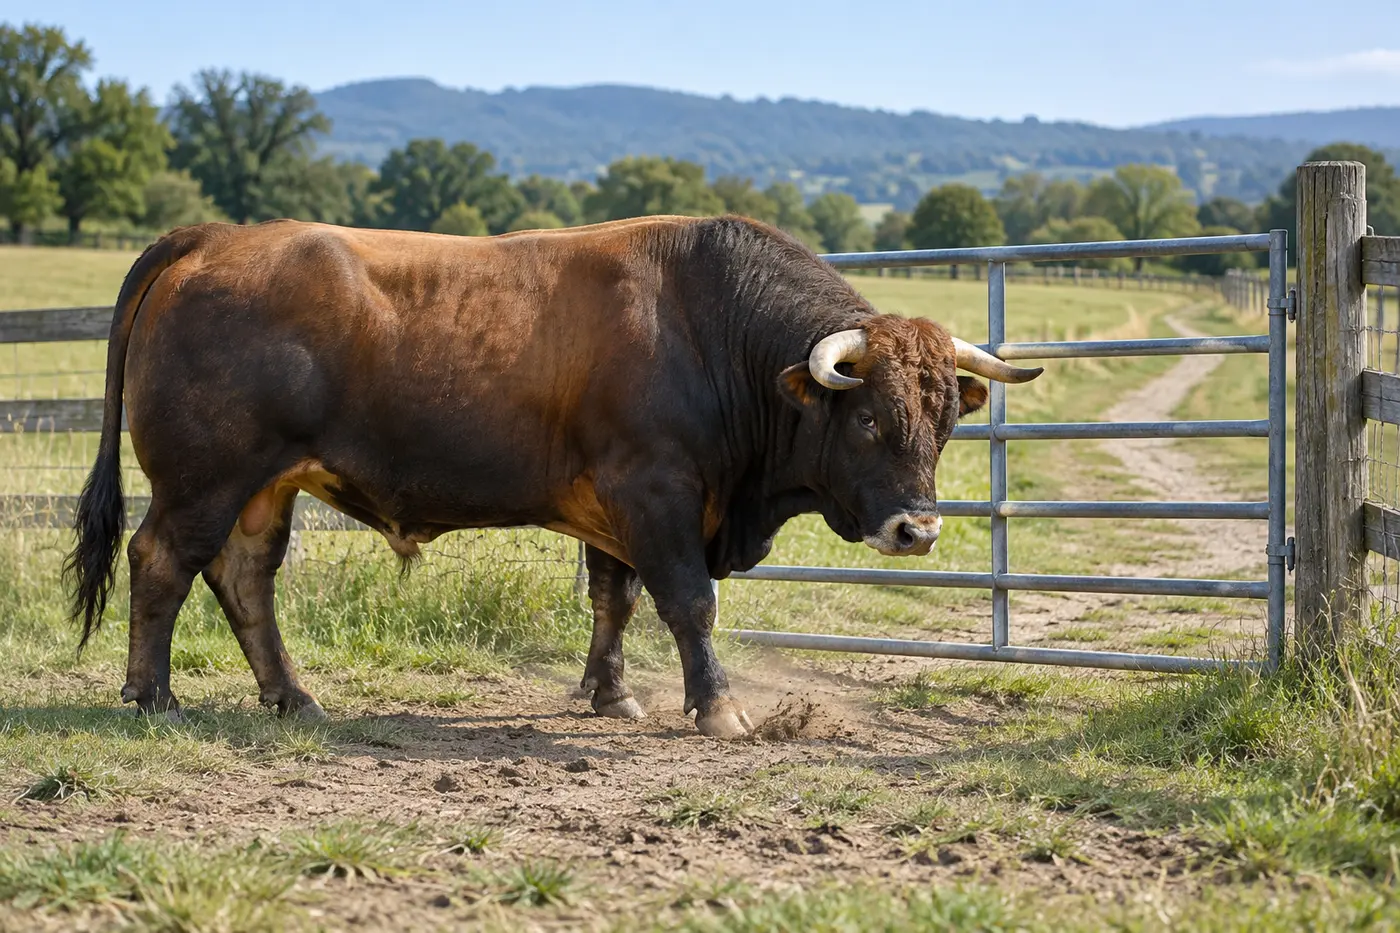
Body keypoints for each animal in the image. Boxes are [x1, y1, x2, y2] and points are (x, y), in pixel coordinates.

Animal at [65, 215, 1042, 738]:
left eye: (947, 422)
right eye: (871, 418)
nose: (917, 528)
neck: (712, 327)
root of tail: (216, 238)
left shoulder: (614, 505)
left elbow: (615, 598)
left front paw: (613, 695)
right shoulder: (655, 490)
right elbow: (688, 602)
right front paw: (718, 709)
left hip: (267, 488)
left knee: (243, 579)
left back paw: (292, 696)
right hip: (206, 478)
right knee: (163, 562)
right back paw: (152, 695)